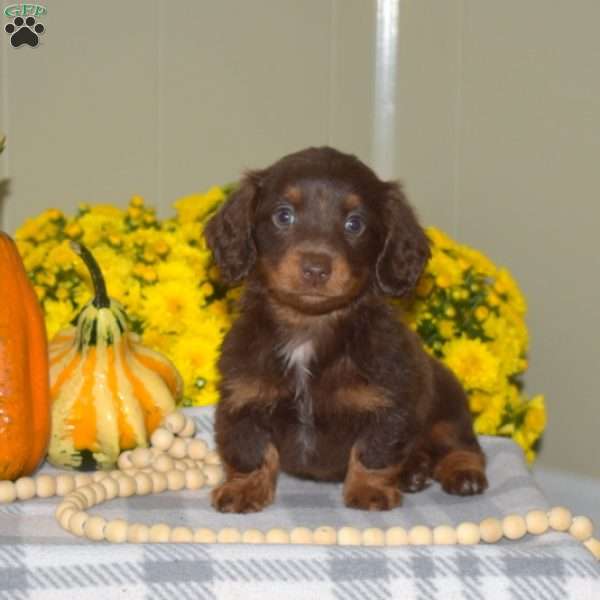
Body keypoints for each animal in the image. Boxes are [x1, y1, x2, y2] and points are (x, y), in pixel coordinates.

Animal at [204, 145, 486, 510]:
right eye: (283, 216)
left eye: (355, 223)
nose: (315, 268)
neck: (309, 327)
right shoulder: (243, 400)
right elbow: (248, 450)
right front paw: (244, 490)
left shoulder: (386, 404)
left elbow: (374, 451)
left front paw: (370, 491)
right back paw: (415, 471)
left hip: (449, 410)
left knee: (463, 446)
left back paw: (462, 473)